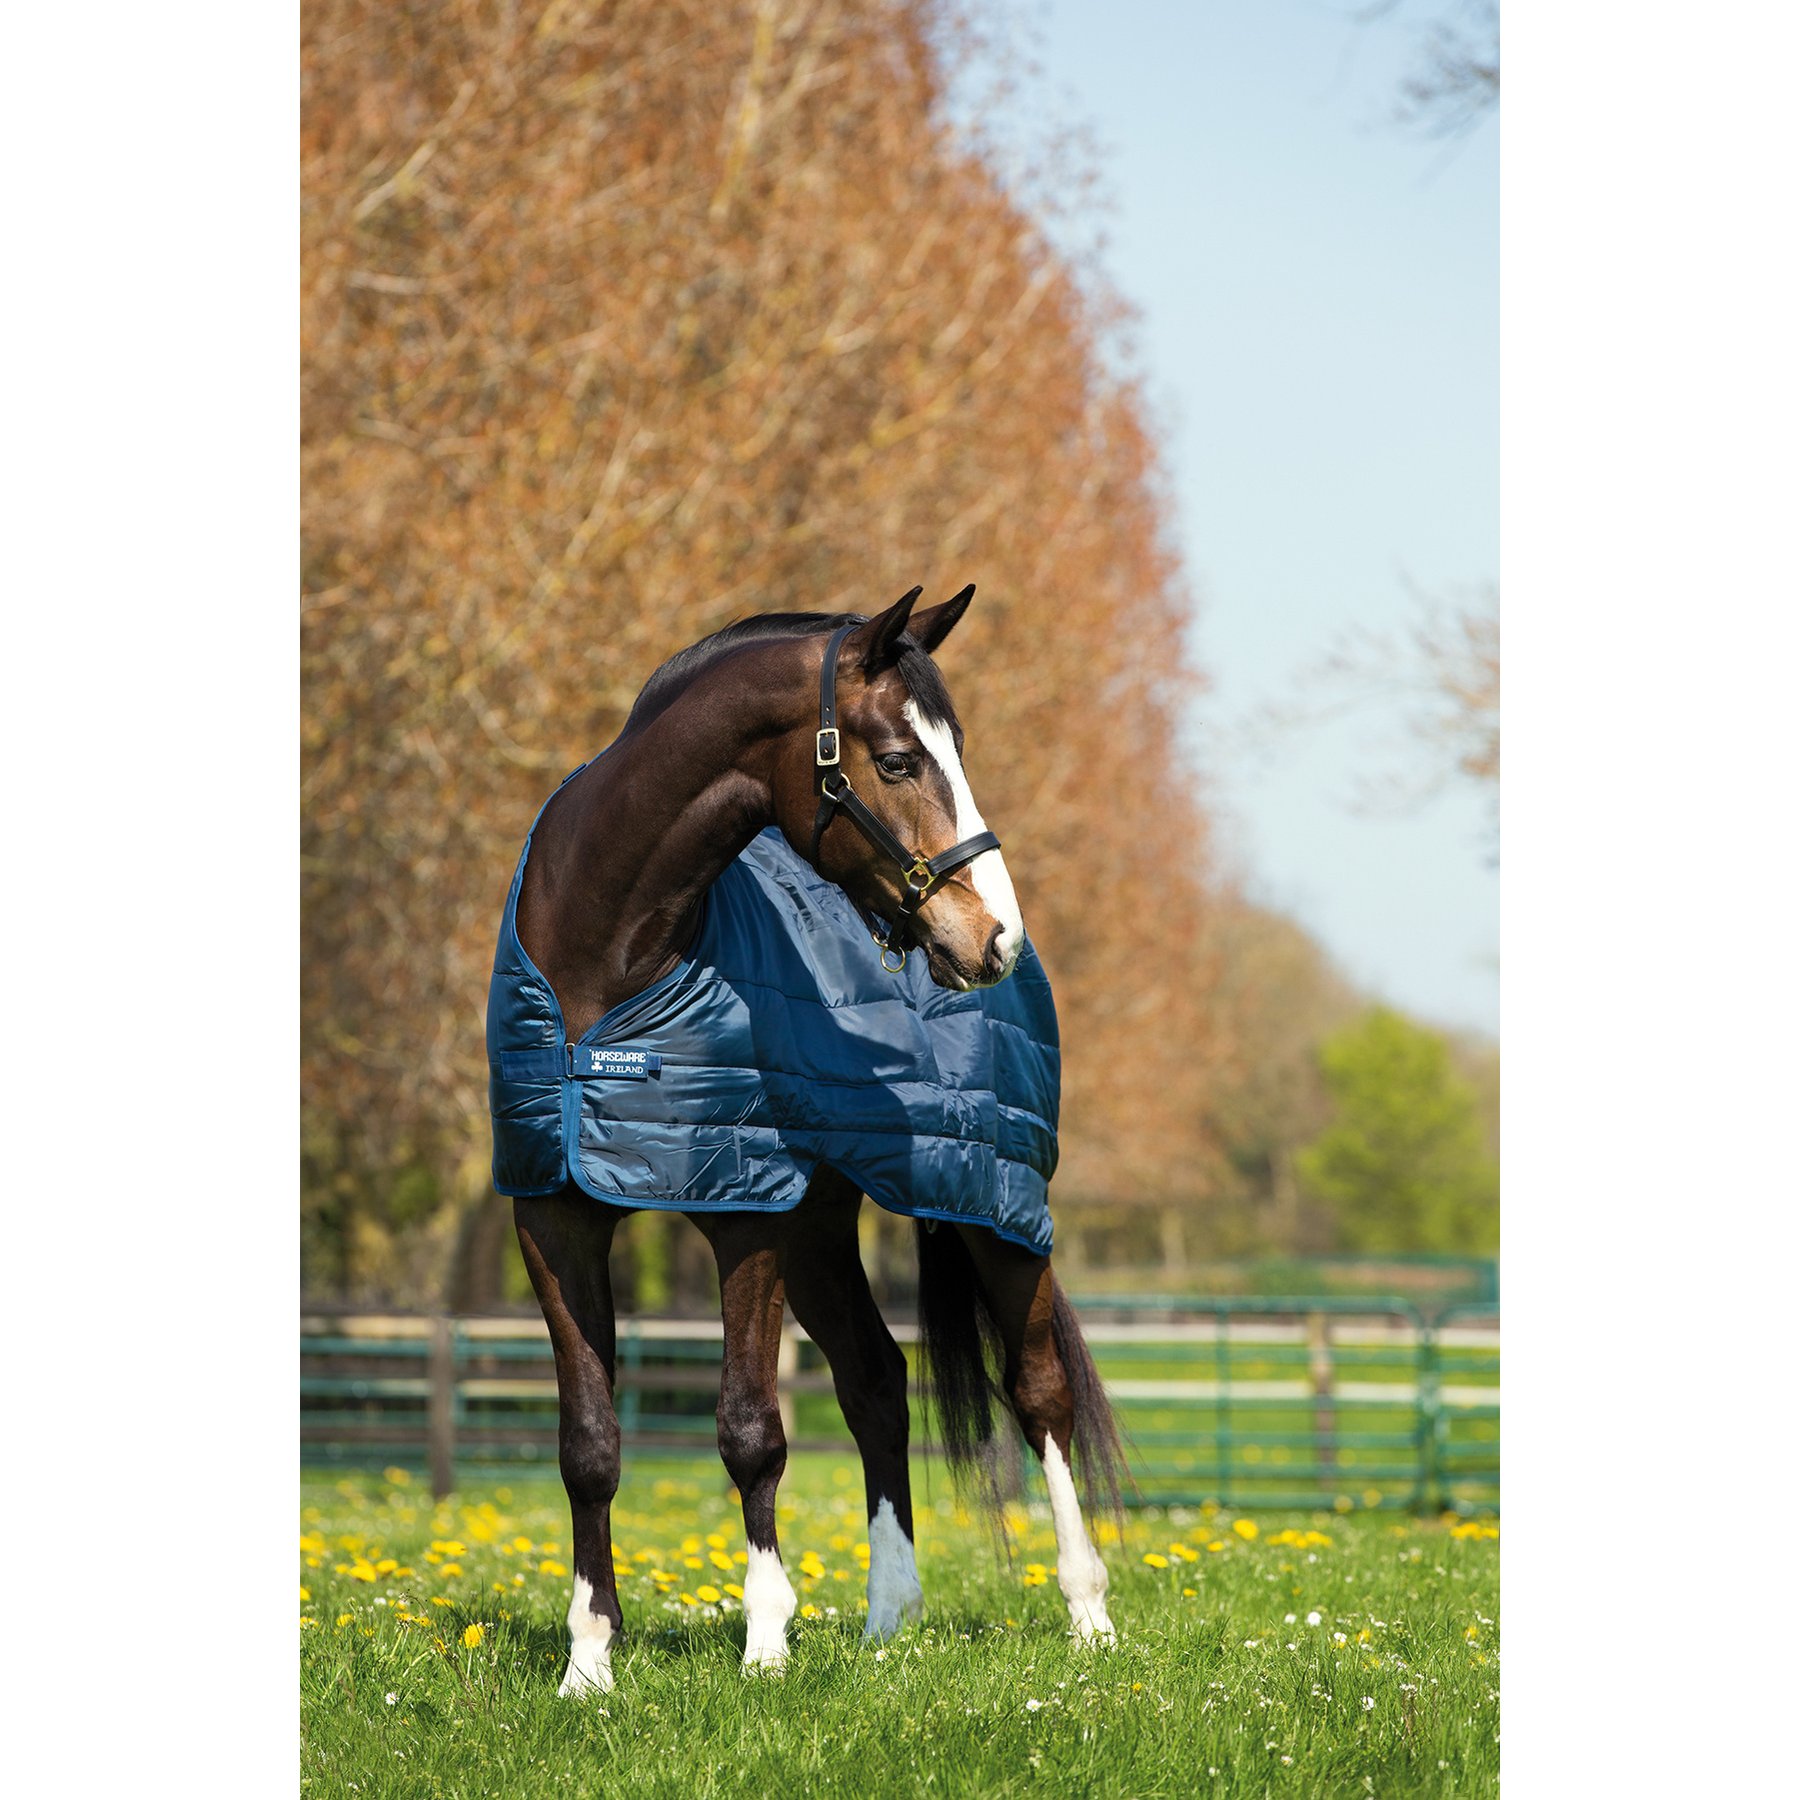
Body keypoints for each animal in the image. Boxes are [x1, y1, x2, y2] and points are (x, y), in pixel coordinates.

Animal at [492, 585, 1126, 1695]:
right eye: (900, 760)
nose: (993, 937)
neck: (606, 966)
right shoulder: (555, 1213)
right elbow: (588, 1442)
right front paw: (589, 1663)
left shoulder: (744, 1213)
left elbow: (751, 1429)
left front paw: (765, 1647)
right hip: (824, 1232)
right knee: (877, 1384)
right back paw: (888, 1619)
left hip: (993, 1202)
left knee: (1039, 1391)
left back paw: (1087, 1614)